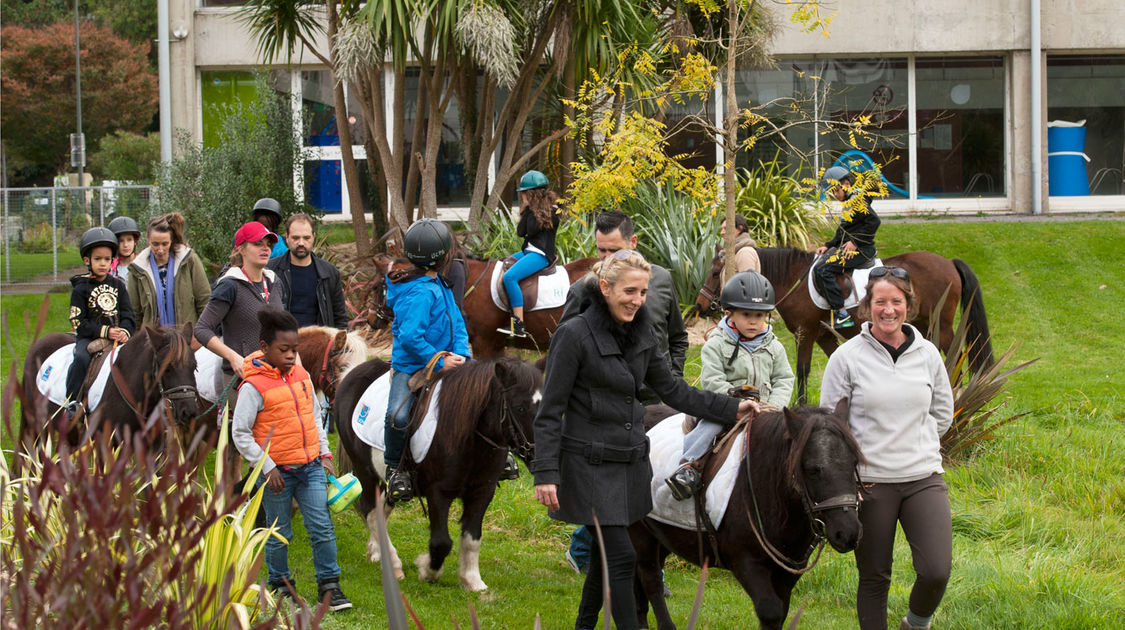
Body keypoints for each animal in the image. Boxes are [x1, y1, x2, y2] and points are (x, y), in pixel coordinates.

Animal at [330, 357, 542, 594]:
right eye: (520, 407)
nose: (539, 457)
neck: (467, 435)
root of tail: (353, 372)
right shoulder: (438, 492)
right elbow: (441, 542)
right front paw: (428, 570)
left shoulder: (482, 491)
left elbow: (472, 538)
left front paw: (472, 580)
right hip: (364, 471)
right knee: (371, 512)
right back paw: (393, 564)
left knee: (381, 509)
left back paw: (377, 552)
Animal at [630, 402, 864, 630]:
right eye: (813, 469)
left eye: (854, 463)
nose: (848, 532)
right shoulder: (744, 561)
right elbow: (770, 612)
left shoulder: (789, 571)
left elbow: (782, 611)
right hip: (641, 533)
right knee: (651, 578)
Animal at [693, 247, 994, 402]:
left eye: (716, 272)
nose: (701, 305)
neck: (792, 278)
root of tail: (948, 262)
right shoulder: (824, 336)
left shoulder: (805, 333)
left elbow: (802, 370)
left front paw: (801, 405)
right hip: (924, 325)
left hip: (940, 325)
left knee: (956, 356)